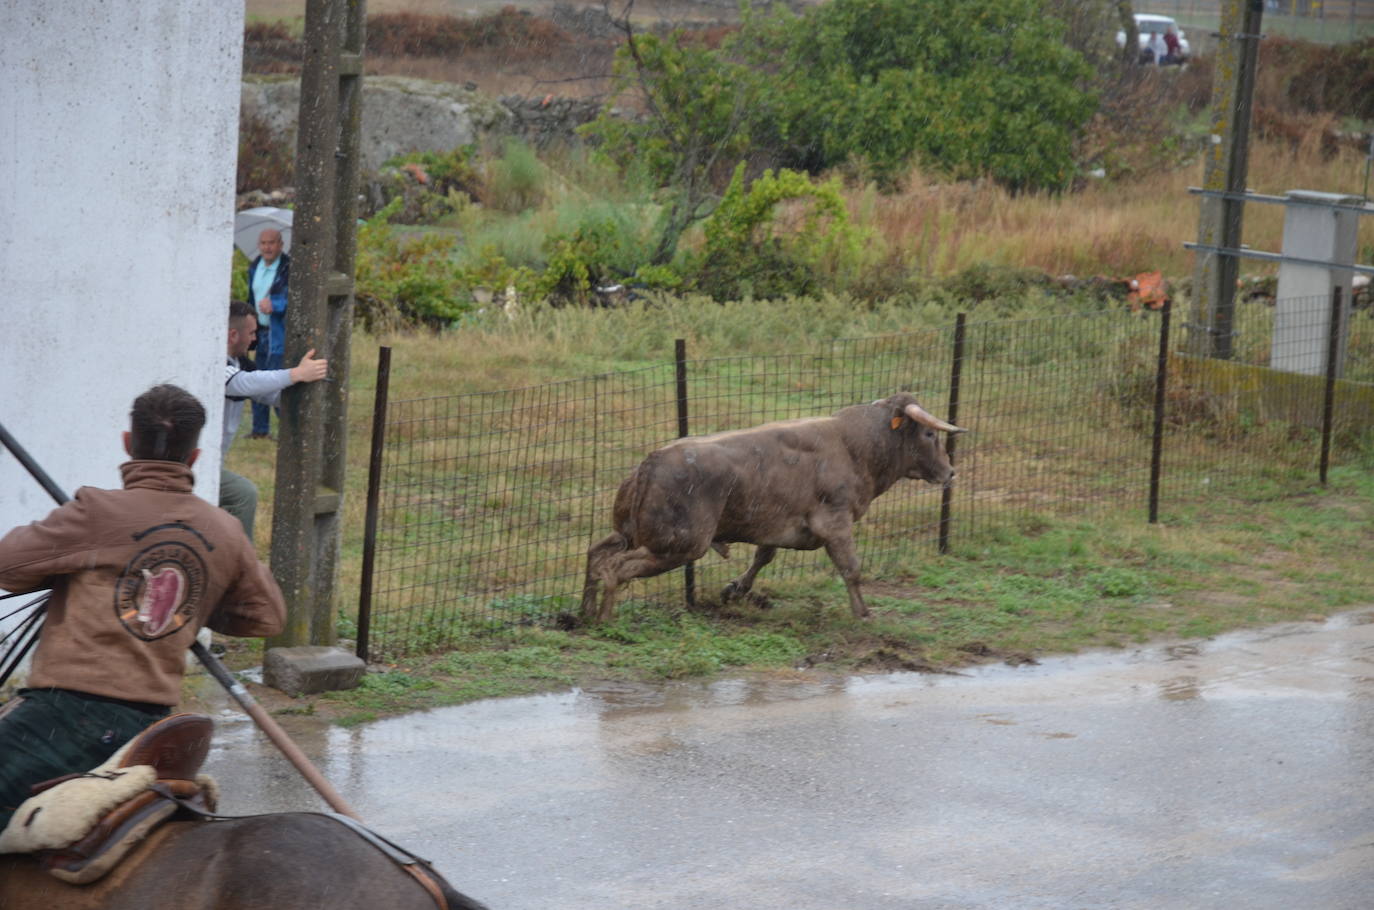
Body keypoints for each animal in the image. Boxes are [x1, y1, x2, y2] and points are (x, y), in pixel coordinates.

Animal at [582, 393, 967, 621]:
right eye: (930, 434)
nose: (950, 471)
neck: (854, 446)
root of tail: (651, 461)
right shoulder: (835, 522)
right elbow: (851, 568)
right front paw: (863, 613)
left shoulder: (777, 525)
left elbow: (763, 556)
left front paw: (737, 589)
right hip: (679, 544)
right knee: (616, 567)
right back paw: (603, 620)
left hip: (629, 532)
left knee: (596, 554)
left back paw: (584, 613)